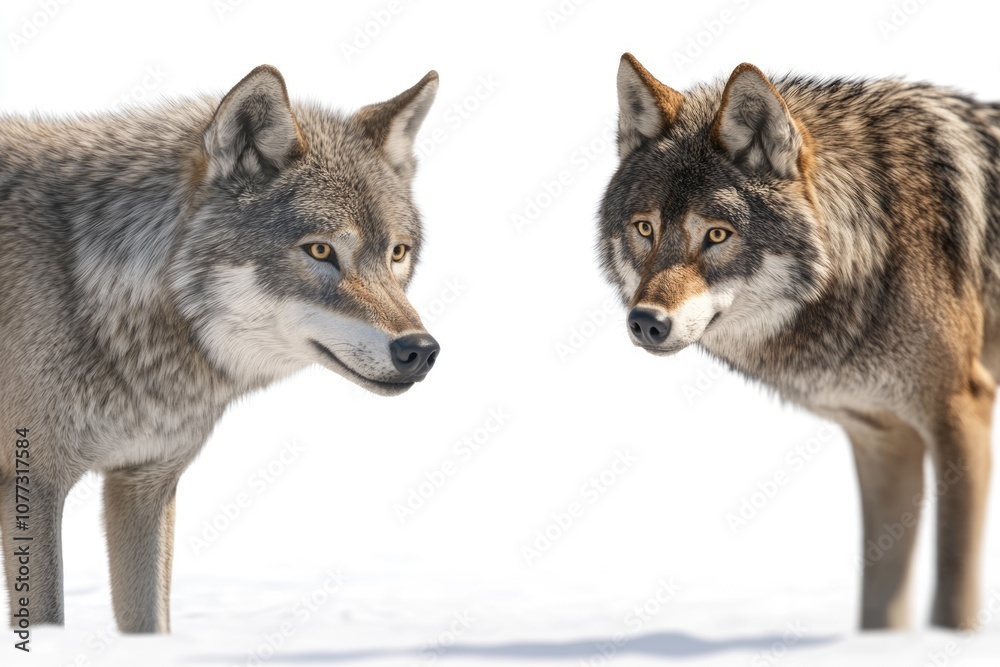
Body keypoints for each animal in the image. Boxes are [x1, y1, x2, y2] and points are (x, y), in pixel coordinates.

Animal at [0, 65, 441, 633]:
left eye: (397, 254)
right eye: (321, 250)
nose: (420, 350)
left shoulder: (145, 484)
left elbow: (151, 623)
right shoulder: (33, 483)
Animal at [599, 54, 1000, 630]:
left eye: (716, 235)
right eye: (645, 229)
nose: (647, 322)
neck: (878, 241)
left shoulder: (960, 411)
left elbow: (953, 587)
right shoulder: (884, 438)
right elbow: (881, 600)